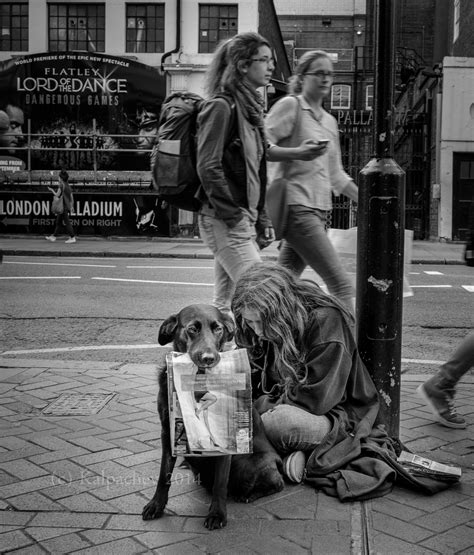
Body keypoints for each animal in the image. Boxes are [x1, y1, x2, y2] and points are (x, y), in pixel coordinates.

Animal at [141, 304, 282, 528]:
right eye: (192, 329)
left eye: (218, 329)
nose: (209, 358)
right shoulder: (168, 432)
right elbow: (164, 474)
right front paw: (156, 505)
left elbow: (220, 483)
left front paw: (217, 513)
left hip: (249, 464)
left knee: (277, 484)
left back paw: (248, 495)